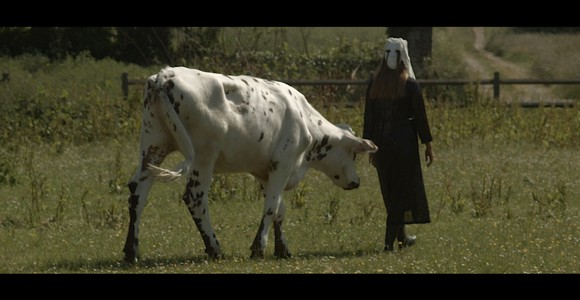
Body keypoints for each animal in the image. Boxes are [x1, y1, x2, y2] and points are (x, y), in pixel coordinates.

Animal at [123, 66, 378, 262]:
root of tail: (164, 75)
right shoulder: (283, 164)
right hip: (203, 156)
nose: (356, 182)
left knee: (138, 190)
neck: (307, 124)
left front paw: (282, 249)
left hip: (153, 145)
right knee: (195, 197)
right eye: (354, 155)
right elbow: (271, 207)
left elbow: (279, 209)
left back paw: (132, 251)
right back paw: (215, 249)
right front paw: (259, 248)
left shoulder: (264, 171)